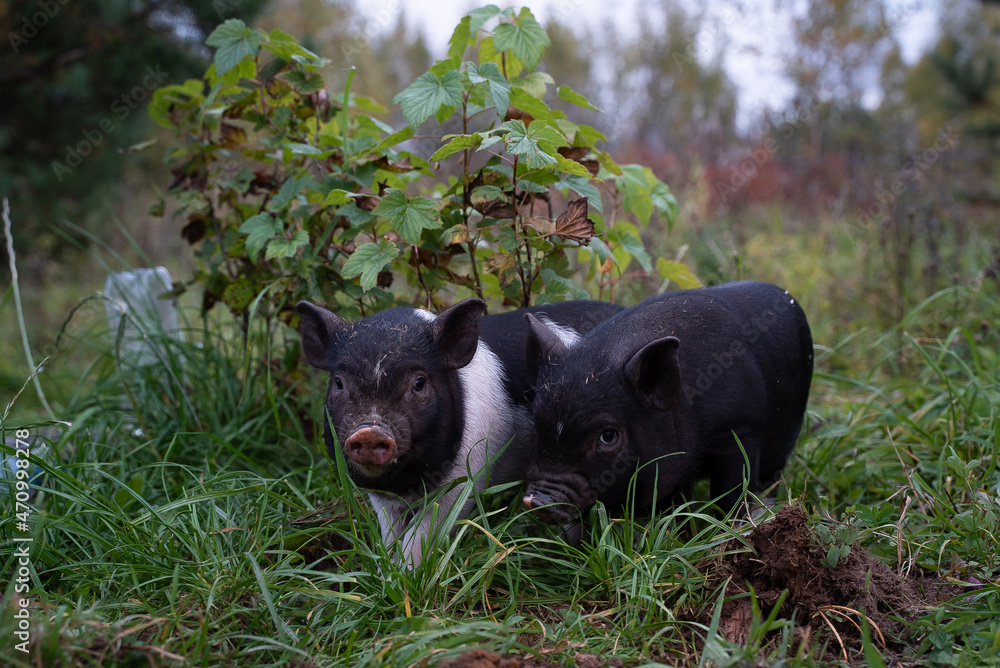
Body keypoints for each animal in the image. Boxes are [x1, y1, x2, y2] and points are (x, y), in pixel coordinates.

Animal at [296, 298, 623, 566]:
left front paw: (406, 575)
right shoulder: (381, 497)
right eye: (339, 382)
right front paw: (386, 572)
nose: (369, 432)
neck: (409, 482)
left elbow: (424, 531)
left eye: (419, 383)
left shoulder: (467, 474)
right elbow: (390, 532)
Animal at [522, 281, 813, 538]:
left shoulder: (739, 428)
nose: (539, 501)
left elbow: (732, 491)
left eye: (608, 435)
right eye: (538, 424)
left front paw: (731, 533)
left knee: (771, 476)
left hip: (787, 431)